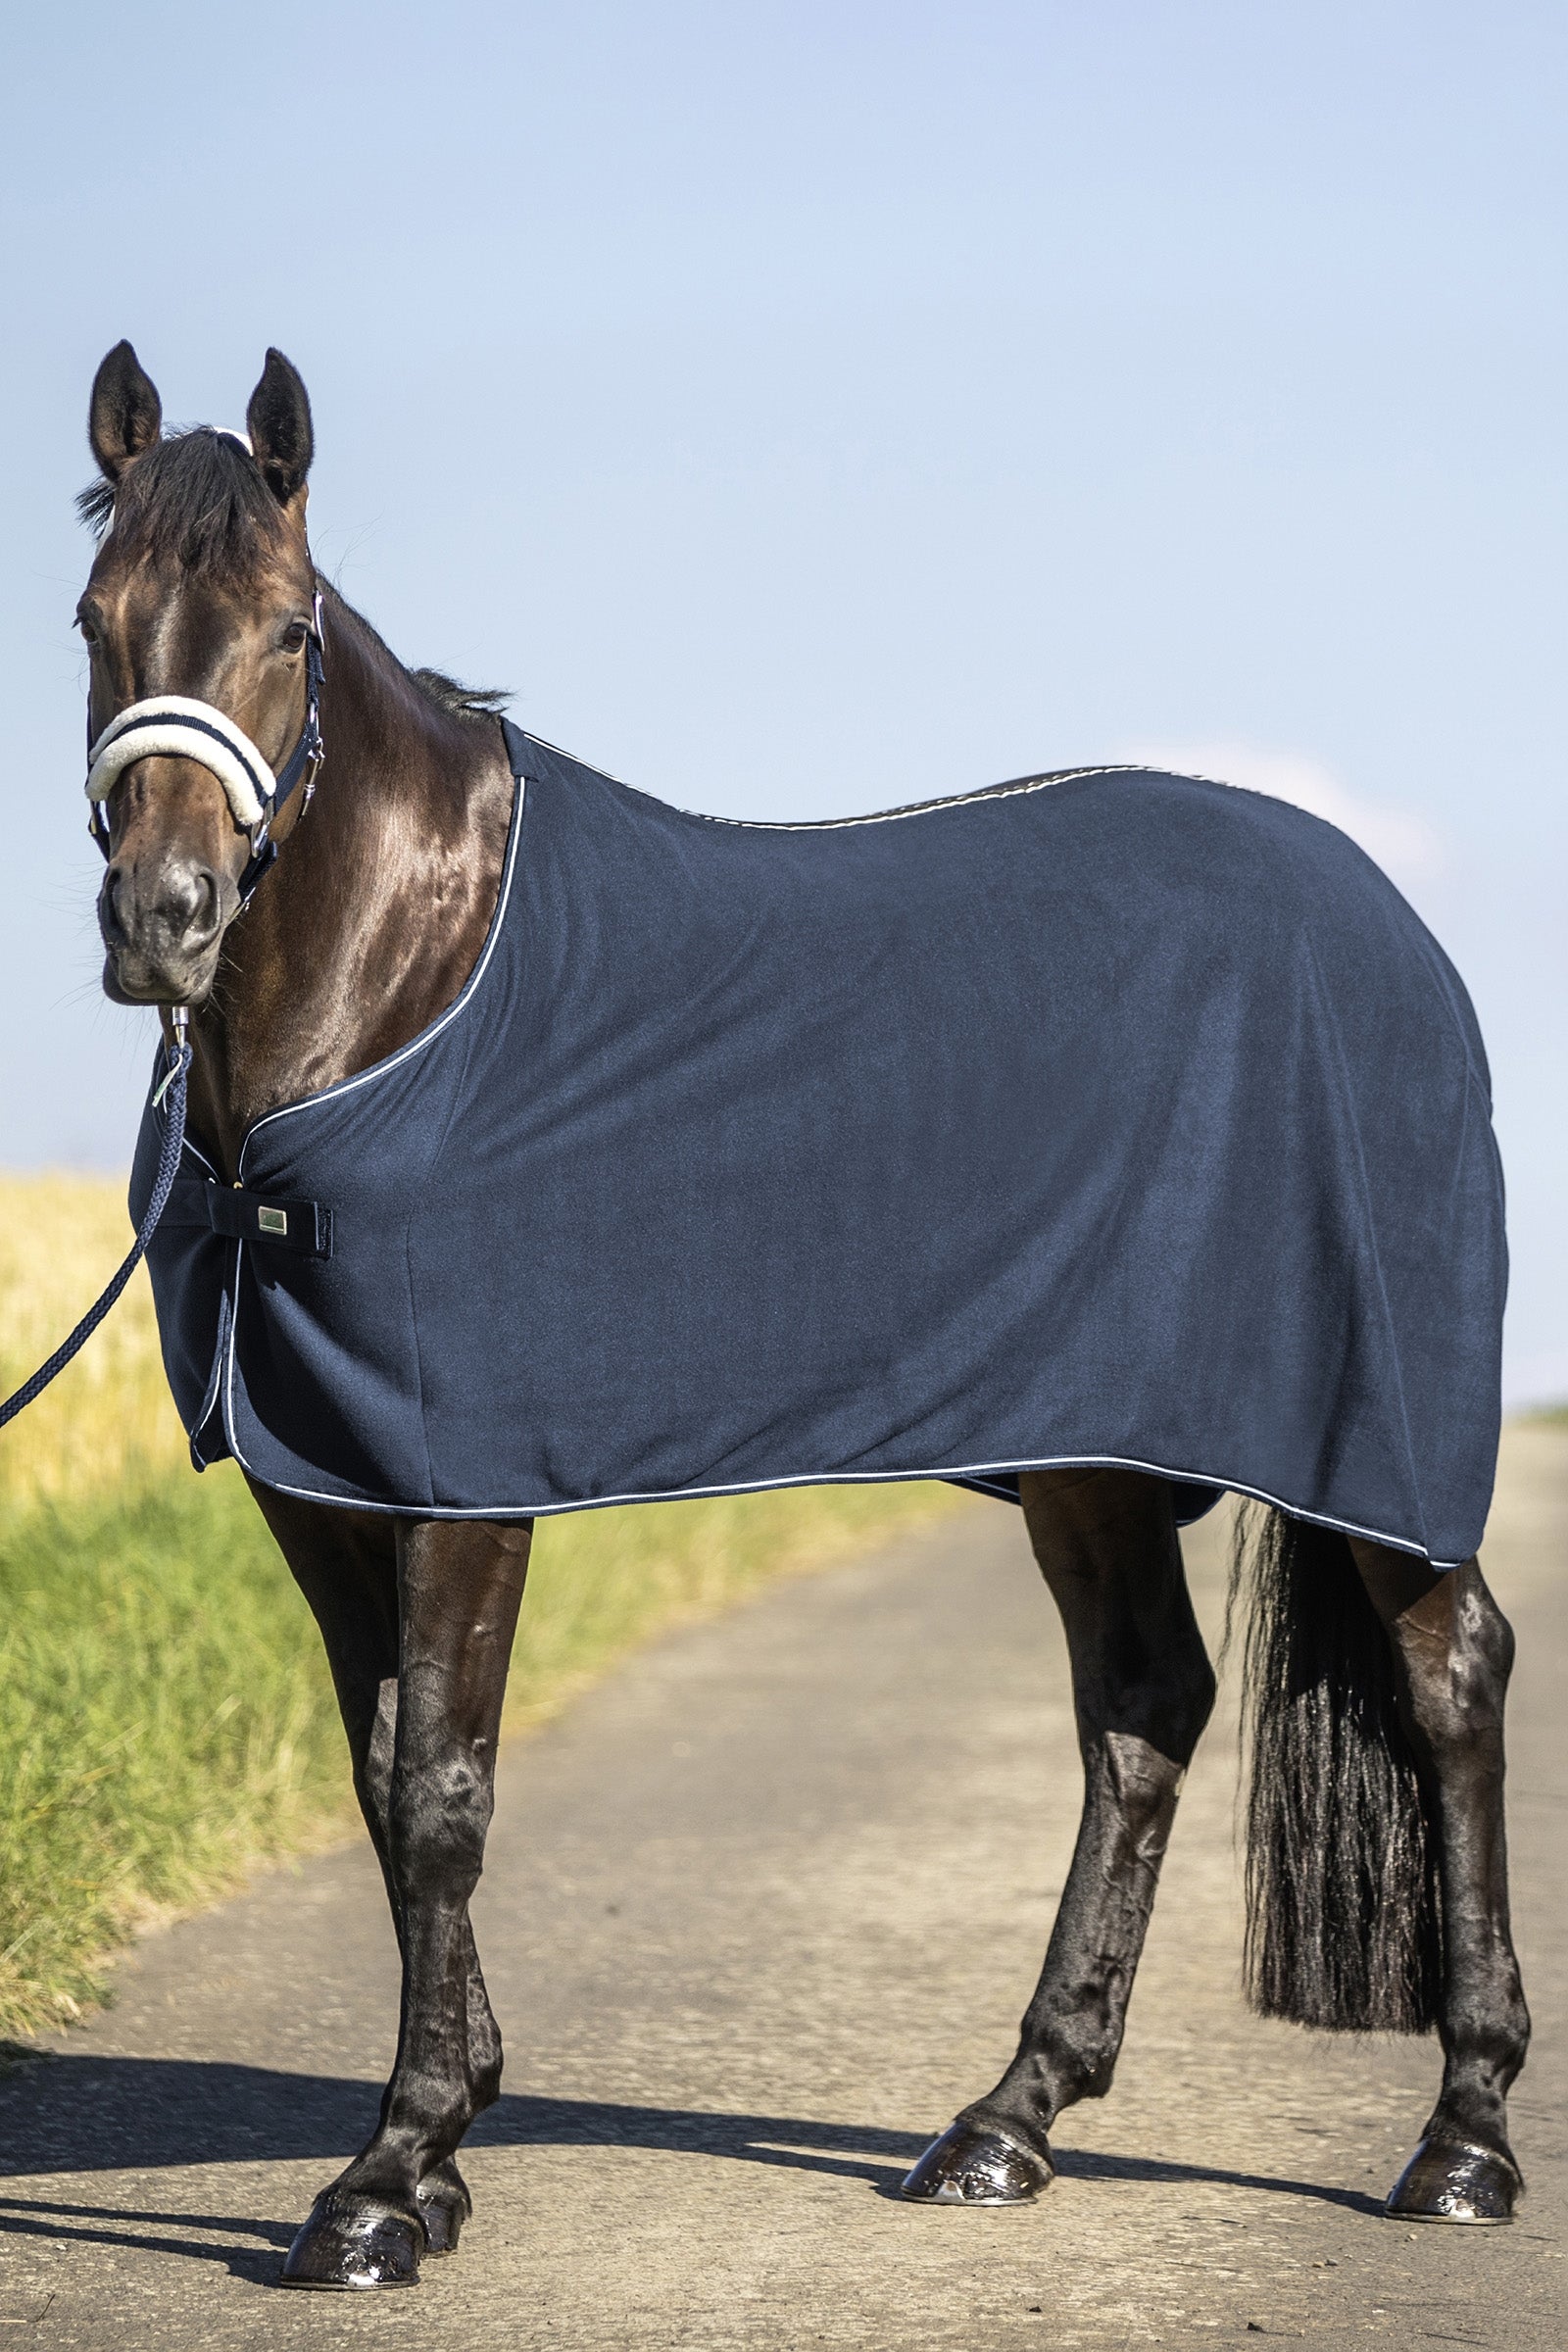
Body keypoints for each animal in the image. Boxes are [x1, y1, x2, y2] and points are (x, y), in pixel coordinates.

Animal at [69, 339, 1529, 2288]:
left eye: (291, 632)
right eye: (93, 620)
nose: (162, 920)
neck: (406, 984)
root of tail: (1397, 930)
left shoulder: (459, 1487)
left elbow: (446, 1797)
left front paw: (386, 2181)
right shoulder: (321, 1488)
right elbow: (382, 1789)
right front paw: (440, 2146)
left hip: (1364, 1437)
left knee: (1452, 1682)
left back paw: (1465, 2139)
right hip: (1093, 1456)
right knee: (1145, 1707)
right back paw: (1009, 2119)